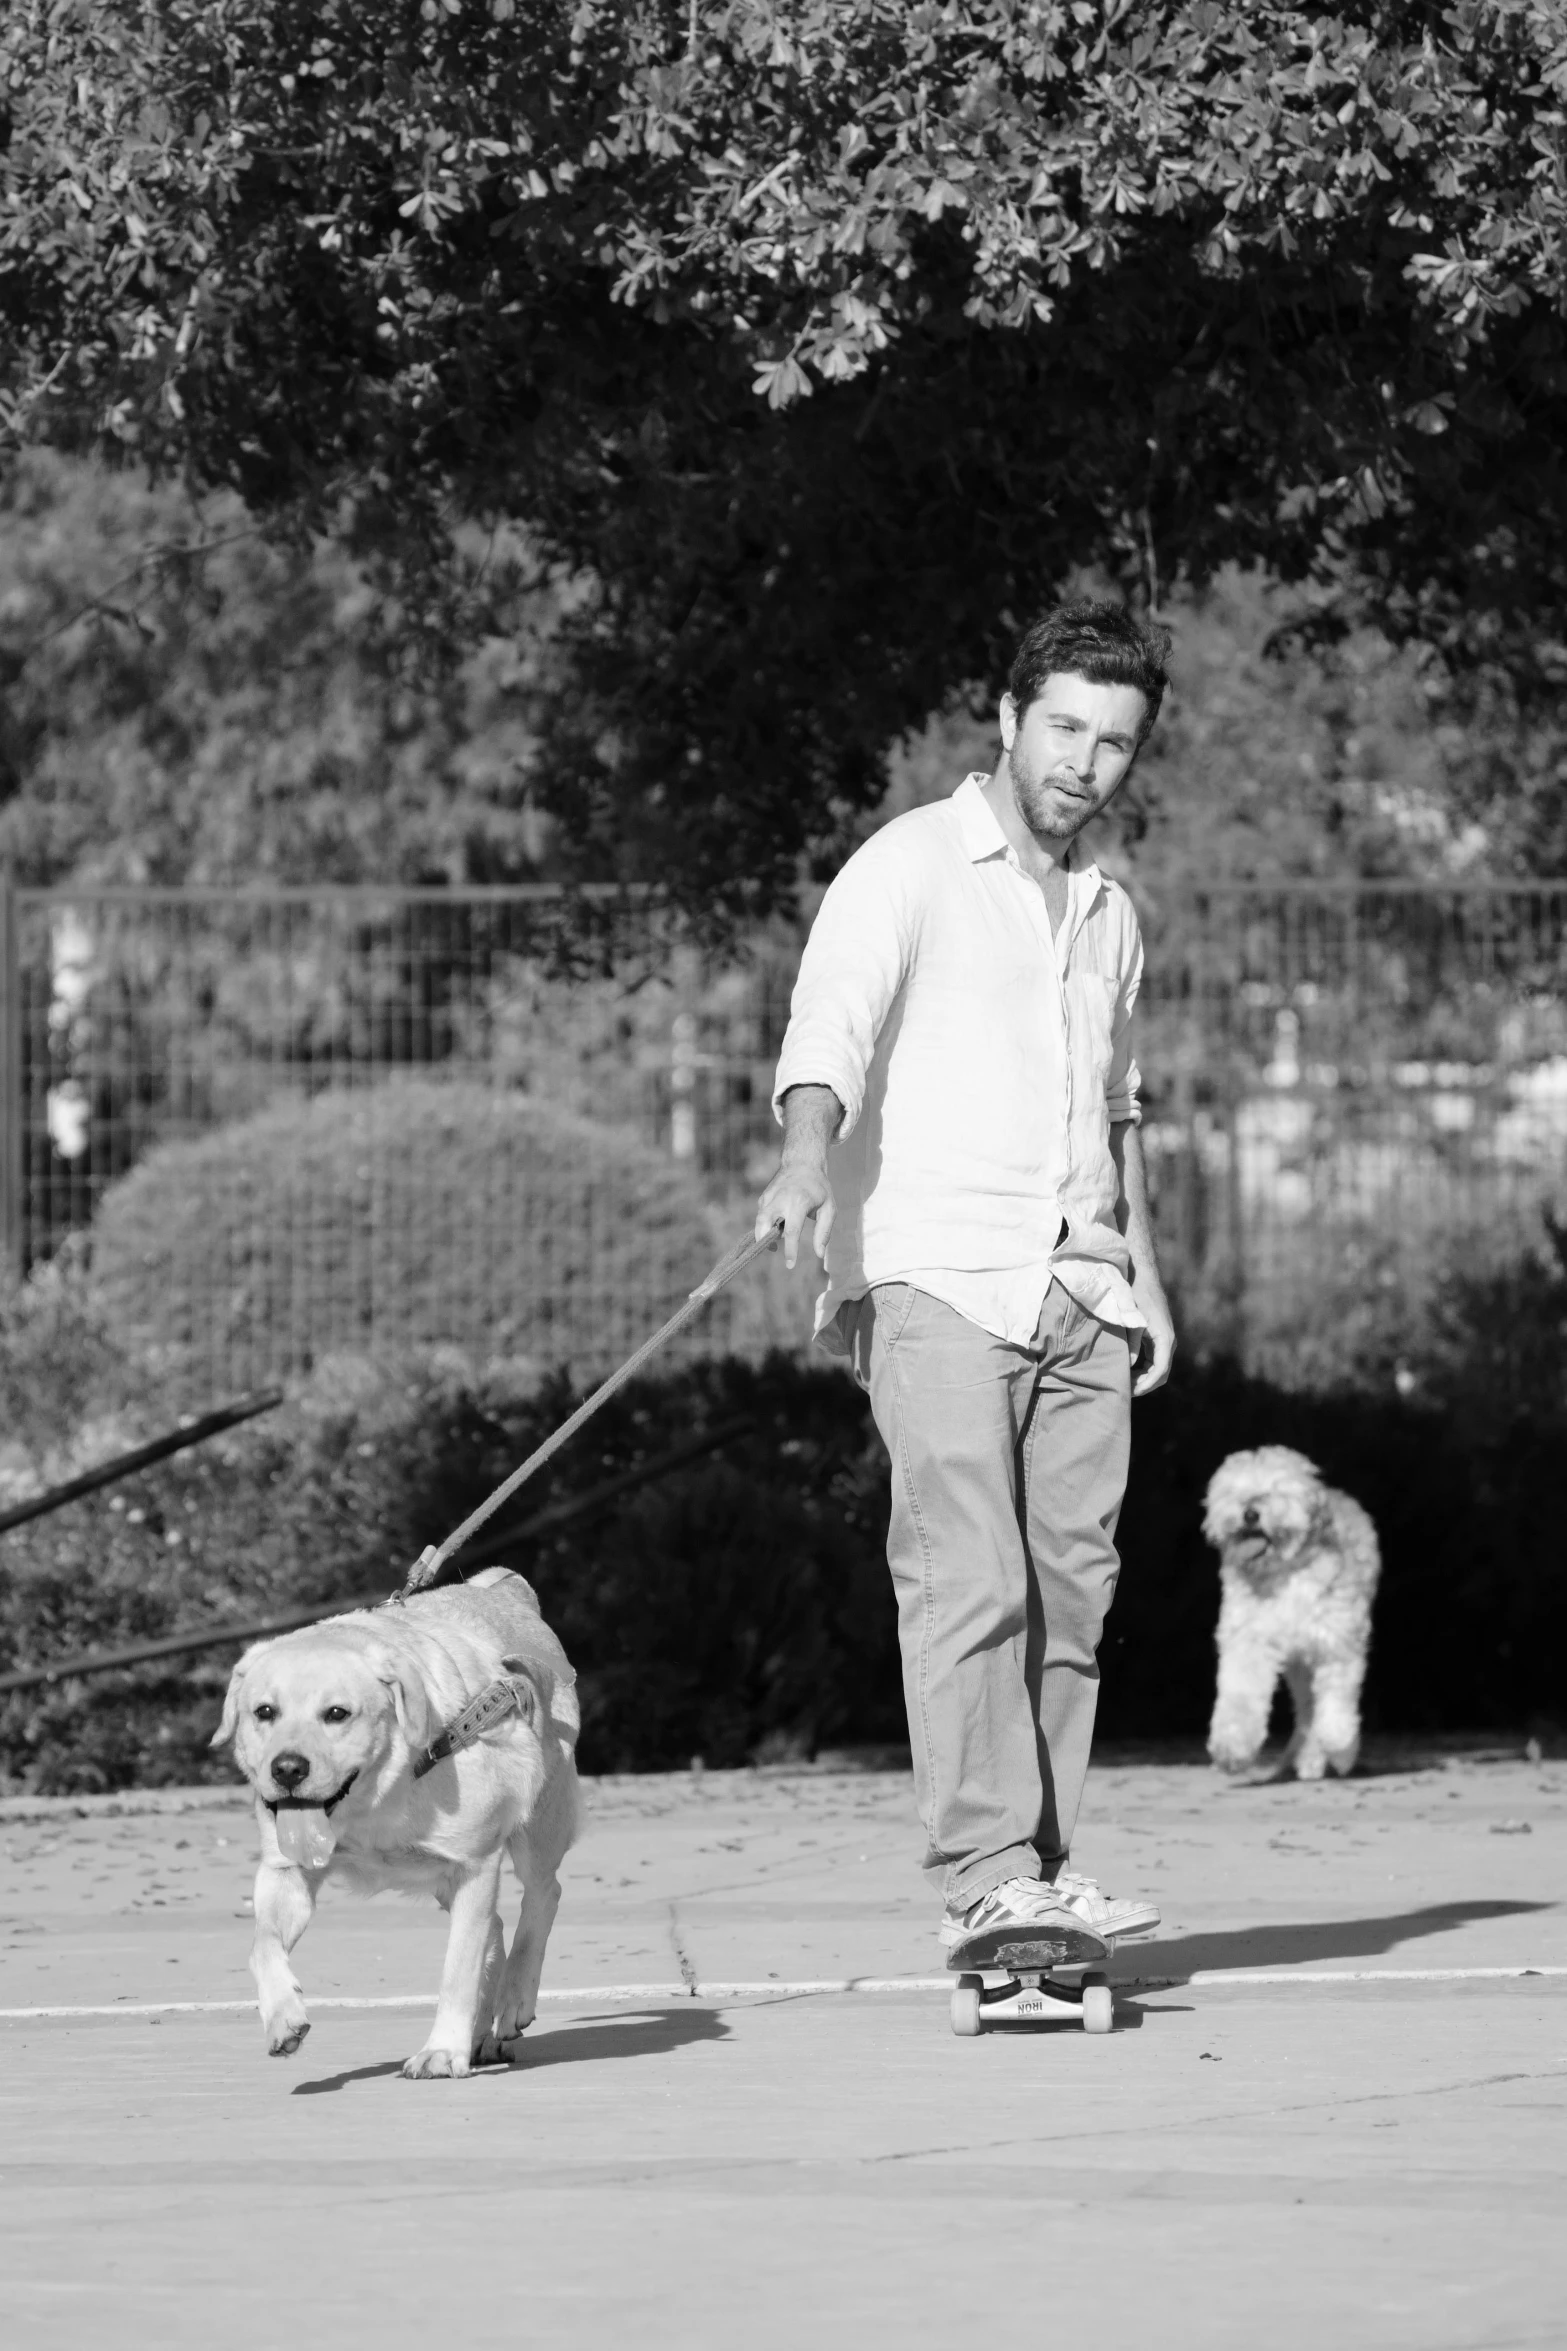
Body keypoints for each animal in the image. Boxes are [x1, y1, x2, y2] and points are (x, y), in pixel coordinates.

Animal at [211, 1561, 573, 2078]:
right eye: (264, 1711)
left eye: (337, 1713)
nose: (287, 1769)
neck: (372, 1805)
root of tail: (507, 1591)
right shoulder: (284, 1872)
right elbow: (262, 1946)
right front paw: (283, 2017)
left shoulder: (475, 1866)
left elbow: (458, 1968)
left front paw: (442, 2050)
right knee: (499, 1928)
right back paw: (482, 2035)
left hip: (538, 1821)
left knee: (542, 1897)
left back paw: (513, 2001)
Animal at [1212, 1448, 1381, 1777]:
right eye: (1233, 1492)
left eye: (1278, 1490)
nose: (1250, 1513)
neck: (1284, 1573)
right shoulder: (1248, 1642)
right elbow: (1240, 1695)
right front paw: (1231, 1747)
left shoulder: (1336, 1644)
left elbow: (1337, 1701)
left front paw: (1341, 1746)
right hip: (1298, 1667)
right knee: (1306, 1709)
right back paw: (1308, 1757)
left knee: (1316, 1706)